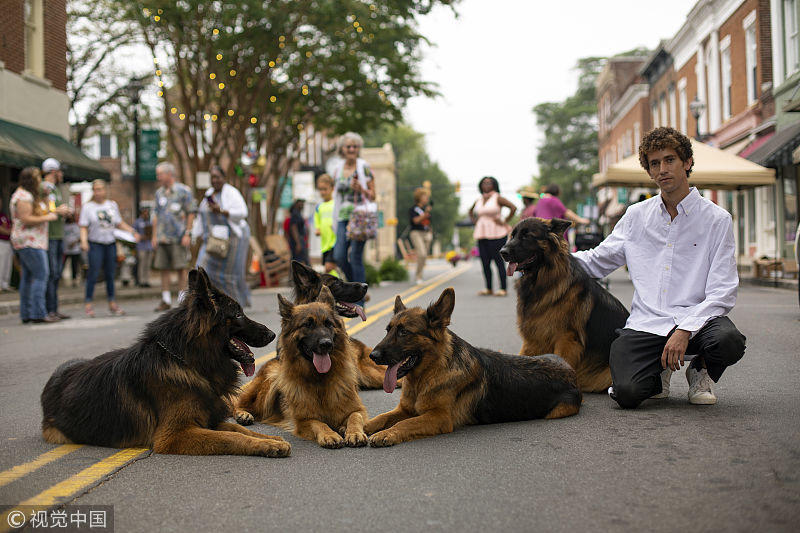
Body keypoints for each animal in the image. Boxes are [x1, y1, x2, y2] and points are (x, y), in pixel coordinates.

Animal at [39, 268, 290, 456]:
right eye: (238, 314)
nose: (272, 334)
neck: (185, 361)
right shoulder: (174, 435)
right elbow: (230, 437)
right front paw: (268, 445)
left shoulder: (208, 419)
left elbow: (238, 430)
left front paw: (271, 439)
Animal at [233, 284, 368, 446]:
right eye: (307, 325)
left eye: (328, 323)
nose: (326, 344)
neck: (320, 379)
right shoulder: (303, 420)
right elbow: (319, 423)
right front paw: (329, 434)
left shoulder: (358, 409)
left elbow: (355, 418)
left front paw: (353, 432)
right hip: (270, 383)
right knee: (239, 403)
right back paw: (243, 414)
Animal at [364, 286, 580, 444]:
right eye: (388, 330)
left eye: (404, 332)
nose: (372, 356)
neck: (428, 374)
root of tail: (569, 369)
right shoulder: (405, 410)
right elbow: (381, 417)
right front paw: (362, 427)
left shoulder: (439, 417)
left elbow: (406, 424)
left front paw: (387, 433)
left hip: (558, 411)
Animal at [500, 216, 632, 390]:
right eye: (513, 235)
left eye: (527, 236)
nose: (502, 252)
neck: (542, 280)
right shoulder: (534, 336)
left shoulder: (567, 339)